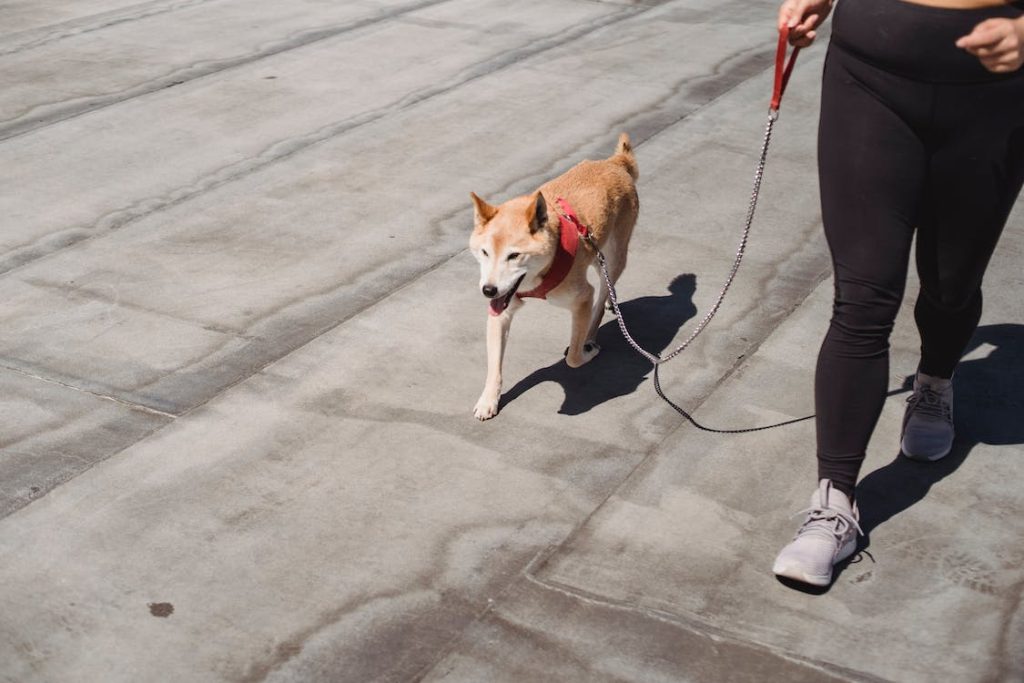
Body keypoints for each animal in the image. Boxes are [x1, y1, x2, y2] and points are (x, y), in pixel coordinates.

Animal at [468, 132, 638, 421]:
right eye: (485, 252)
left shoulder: (582, 297)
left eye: (514, 256)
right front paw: (488, 400)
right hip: (597, 255)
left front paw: (584, 351)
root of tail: (614, 162)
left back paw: (591, 335)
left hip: (614, 256)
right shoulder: (501, 309)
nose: (488, 290)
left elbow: (573, 359)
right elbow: (494, 367)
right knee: (605, 281)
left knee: (601, 295)